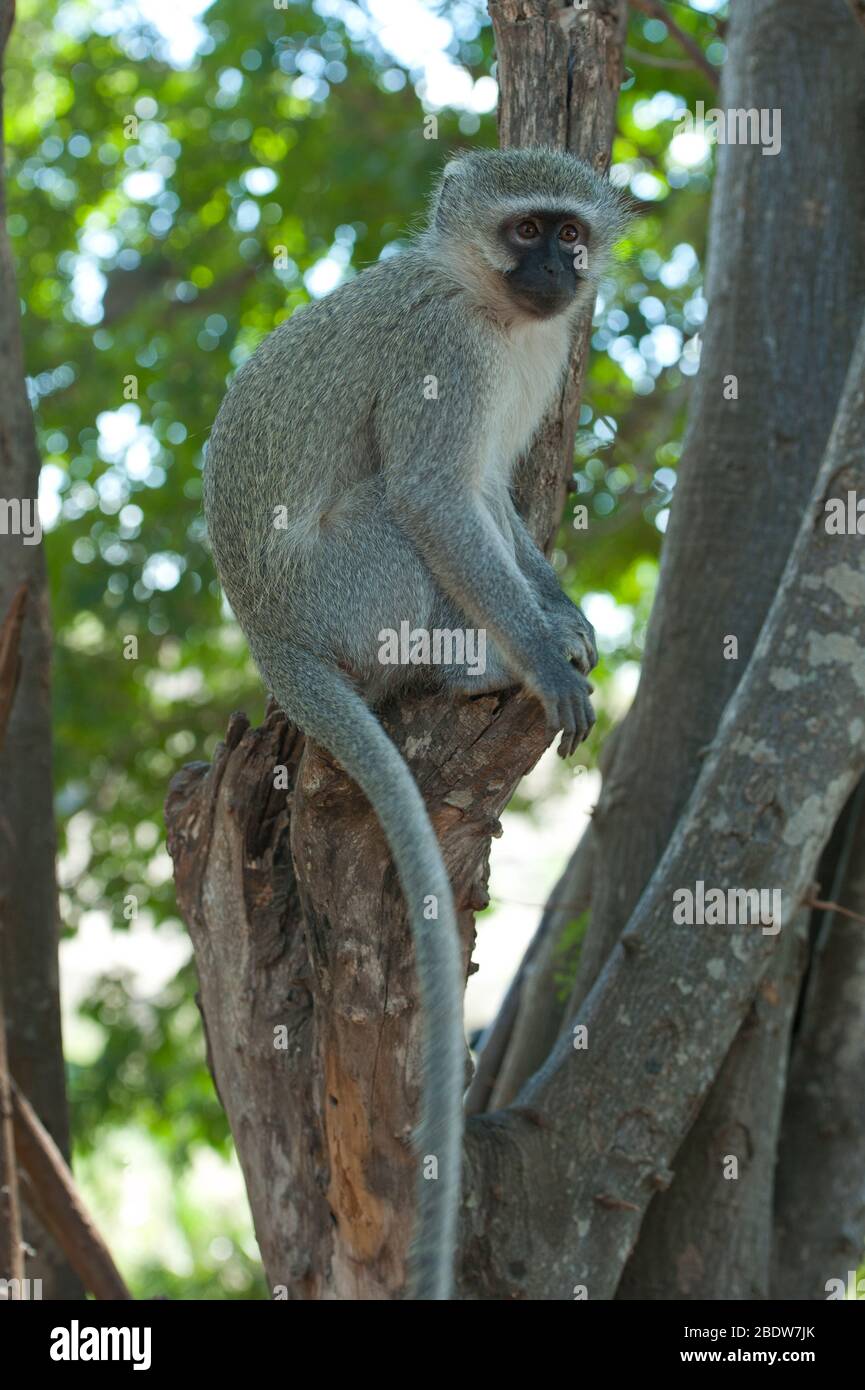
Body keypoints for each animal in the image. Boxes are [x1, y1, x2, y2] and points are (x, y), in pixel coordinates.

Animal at [203, 147, 630, 1300]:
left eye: (570, 233)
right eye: (525, 228)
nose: (556, 269)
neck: (491, 306)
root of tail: (267, 633)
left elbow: (490, 500)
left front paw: (562, 619)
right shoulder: (444, 356)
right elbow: (442, 498)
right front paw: (539, 655)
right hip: (347, 591)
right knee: (401, 512)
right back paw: (465, 667)